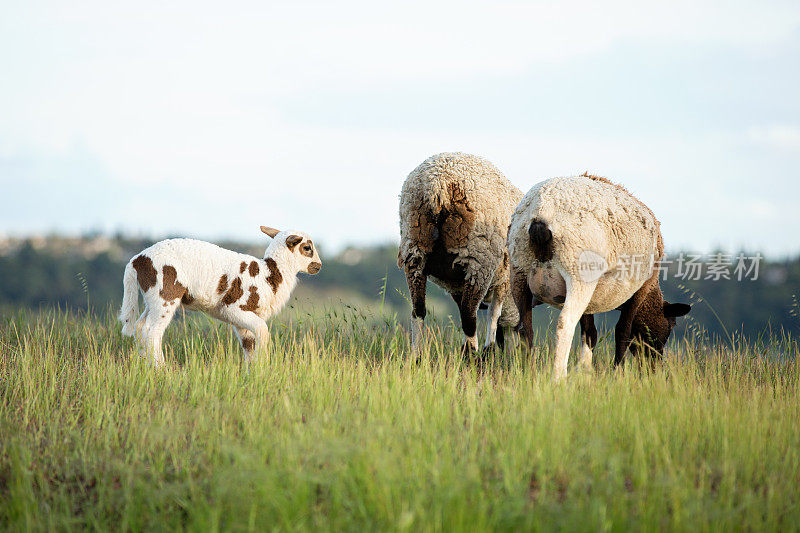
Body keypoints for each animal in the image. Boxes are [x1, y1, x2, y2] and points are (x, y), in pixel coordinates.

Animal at [116, 224, 322, 366]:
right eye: (307, 248)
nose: (319, 266)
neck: (270, 274)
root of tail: (137, 260)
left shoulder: (243, 320)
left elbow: (249, 345)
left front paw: (253, 374)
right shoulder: (233, 308)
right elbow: (262, 331)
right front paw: (263, 367)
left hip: (152, 296)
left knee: (140, 327)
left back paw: (145, 366)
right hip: (166, 294)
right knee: (152, 330)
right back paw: (161, 369)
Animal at [398, 152, 524, 356]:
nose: (517, 354)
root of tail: (439, 184)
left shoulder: (456, 285)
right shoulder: (502, 280)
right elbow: (493, 314)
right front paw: (489, 350)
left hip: (414, 248)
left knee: (418, 310)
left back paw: (416, 356)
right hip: (479, 258)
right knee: (469, 315)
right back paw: (473, 355)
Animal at [510, 172, 692, 376]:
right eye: (670, 326)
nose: (655, 367)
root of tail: (542, 210)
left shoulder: (592, 301)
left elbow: (590, 333)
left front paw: (585, 372)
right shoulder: (640, 288)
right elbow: (622, 332)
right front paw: (617, 372)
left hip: (518, 271)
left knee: (525, 329)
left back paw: (528, 372)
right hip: (579, 274)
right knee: (565, 323)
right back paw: (559, 376)